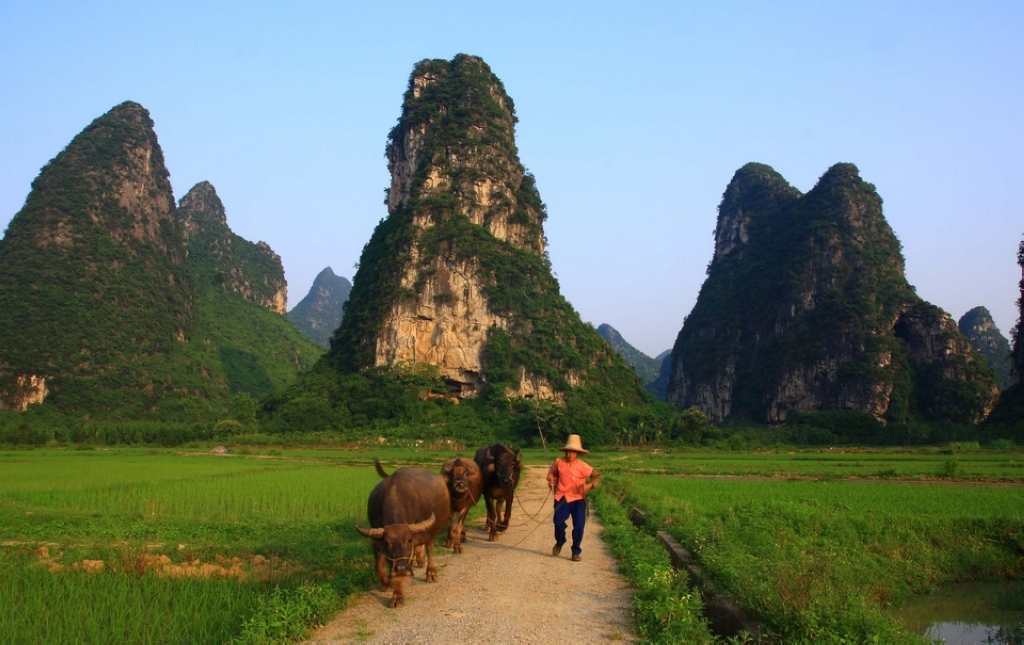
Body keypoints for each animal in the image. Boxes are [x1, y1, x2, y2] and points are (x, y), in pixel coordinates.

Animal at [356, 460, 452, 606]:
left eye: (409, 540)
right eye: (387, 543)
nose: (401, 568)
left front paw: (397, 596)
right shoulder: (376, 541)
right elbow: (379, 567)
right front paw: (386, 583)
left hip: (431, 532)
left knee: (429, 548)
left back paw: (431, 573)